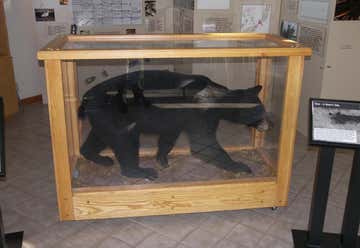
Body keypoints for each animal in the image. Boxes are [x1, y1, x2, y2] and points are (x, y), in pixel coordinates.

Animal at [79, 70, 270, 180]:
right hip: (117, 116)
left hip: (102, 118)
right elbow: (204, 144)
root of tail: (87, 96)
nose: (269, 125)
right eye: (260, 112)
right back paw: (141, 172)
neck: (218, 99)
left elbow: (169, 136)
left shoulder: (177, 118)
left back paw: (100, 158)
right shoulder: (199, 114)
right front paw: (241, 166)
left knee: (99, 137)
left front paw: (162, 159)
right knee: (125, 142)